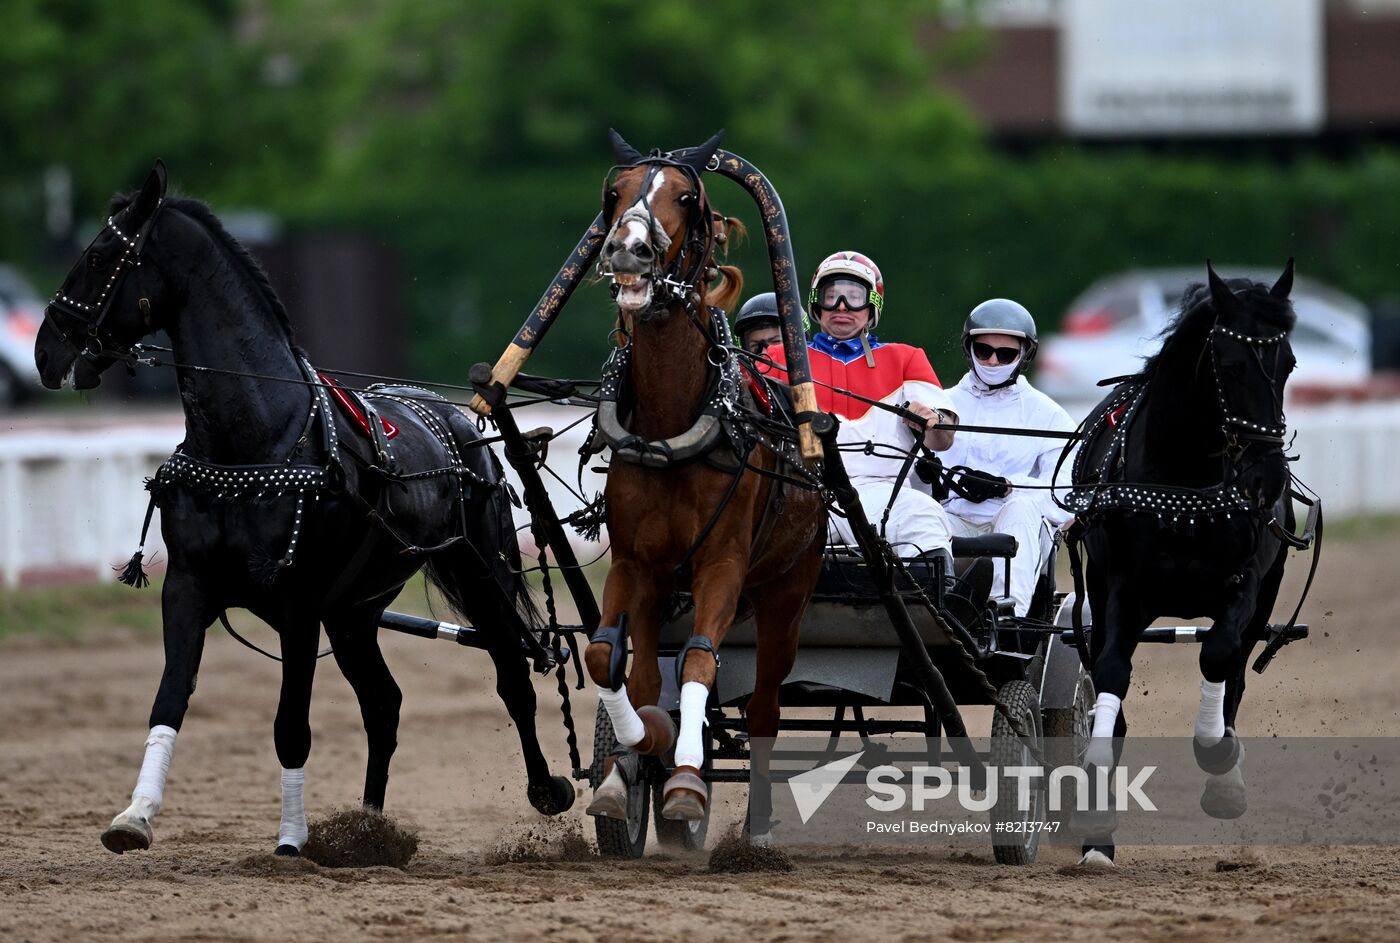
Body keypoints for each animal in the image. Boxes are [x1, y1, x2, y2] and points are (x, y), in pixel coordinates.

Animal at [36, 161, 574, 850]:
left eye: (100, 255)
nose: (45, 350)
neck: (254, 440)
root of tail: (459, 421)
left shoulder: (297, 603)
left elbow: (291, 724)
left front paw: (291, 839)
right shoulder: (188, 586)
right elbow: (169, 699)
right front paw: (134, 815)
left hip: (480, 573)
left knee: (512, 672)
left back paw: (546, 787)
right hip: (355, 612)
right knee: (384, 703)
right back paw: (369, 826)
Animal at [582, 128, 823, 833]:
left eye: (686, 198)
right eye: (613, 192)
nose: (628, 250)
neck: (672, 424)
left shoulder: (723, 562)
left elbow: (697, 658)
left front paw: (685, 778)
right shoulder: (638, 563)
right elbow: (611, 661)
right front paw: (633, 761)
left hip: (786, 593)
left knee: (767, 703)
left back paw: (757, 824)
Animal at [1064, 260, 1304, 861]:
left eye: (1288, 363)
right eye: (1234, 365)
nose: (1267, 480)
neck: (1185, 483)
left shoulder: (1245, 583)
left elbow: (1218, 656)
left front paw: (1219, 763)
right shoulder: (1122, 587)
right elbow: (1110, 672)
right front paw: (1096, 818)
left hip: (1265, 595)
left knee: (1236, 668)